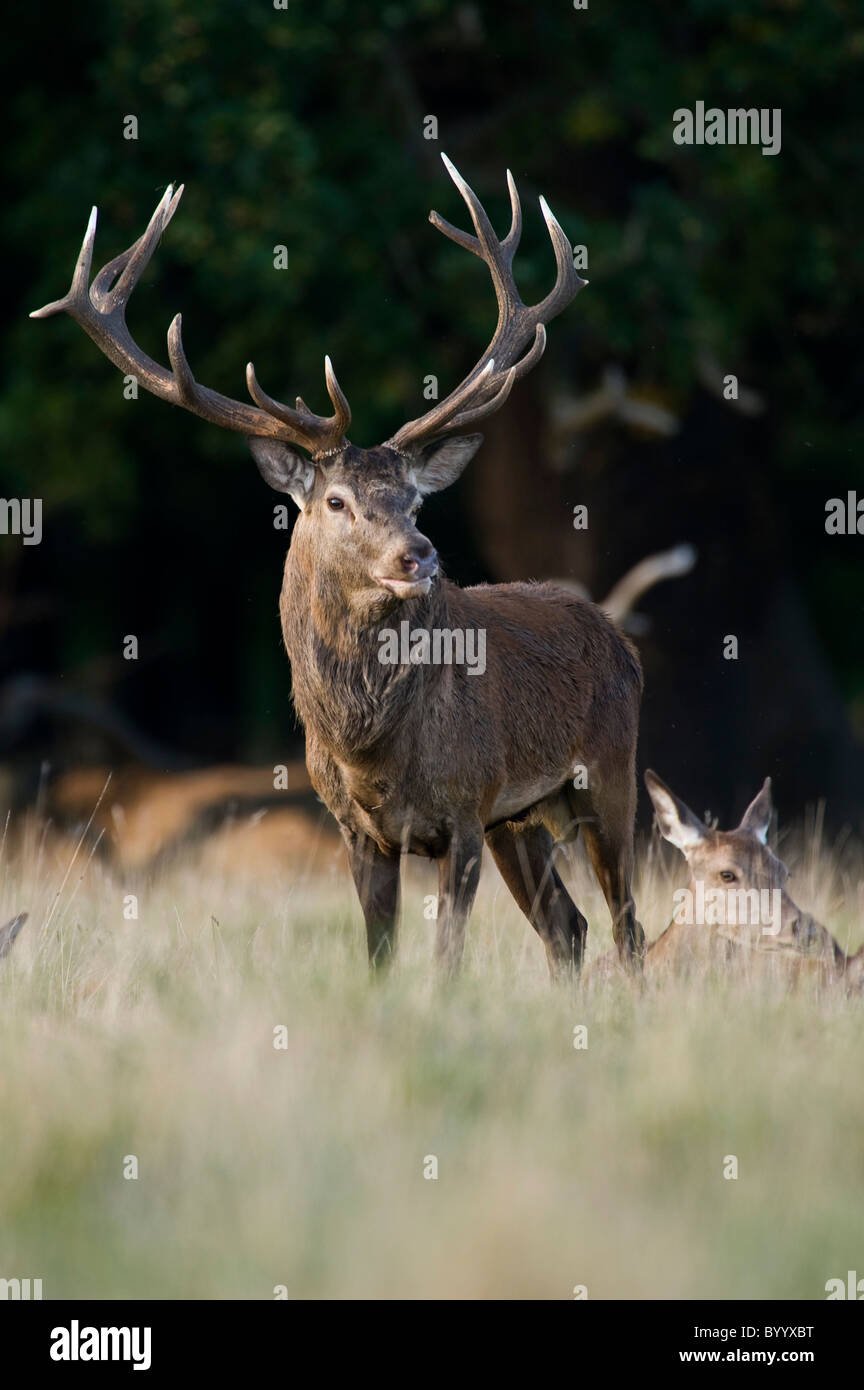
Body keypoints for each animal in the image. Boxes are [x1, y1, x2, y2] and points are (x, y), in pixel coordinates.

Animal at [30, 154, 647, 978]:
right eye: (337, 501)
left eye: (416, 499)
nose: (419, 554)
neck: (368, 749)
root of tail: (620, 638)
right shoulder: (360, 831)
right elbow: (378, 957)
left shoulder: (464, 807)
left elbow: (446, 961)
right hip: (521, 820)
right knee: (568, 928)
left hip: (609, 777)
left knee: (626, 929)